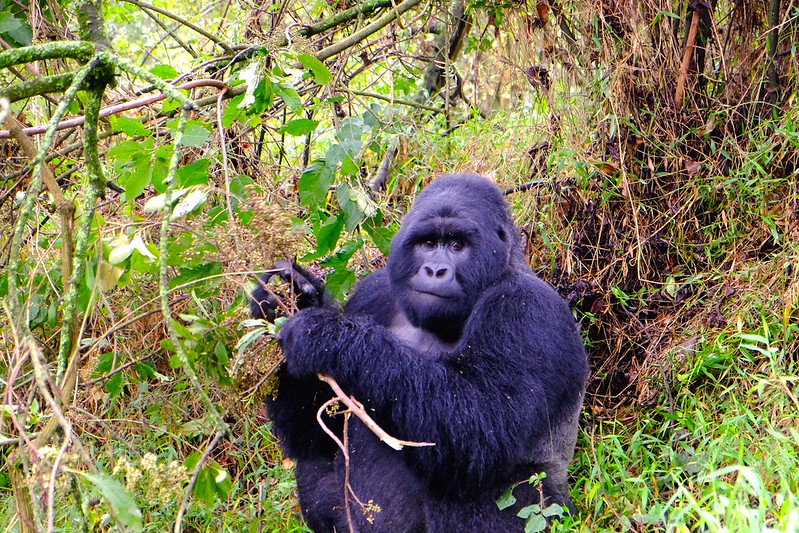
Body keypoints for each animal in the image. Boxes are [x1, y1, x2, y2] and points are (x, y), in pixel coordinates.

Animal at [253, 174, 592, 528]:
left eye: (457, 245)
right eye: (428, 244)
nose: (434, 270)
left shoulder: (526, 308)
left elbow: (481, 428)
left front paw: (329, 337)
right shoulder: (369, 293)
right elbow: (314, 435)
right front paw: (291, 297)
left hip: (556, 512)